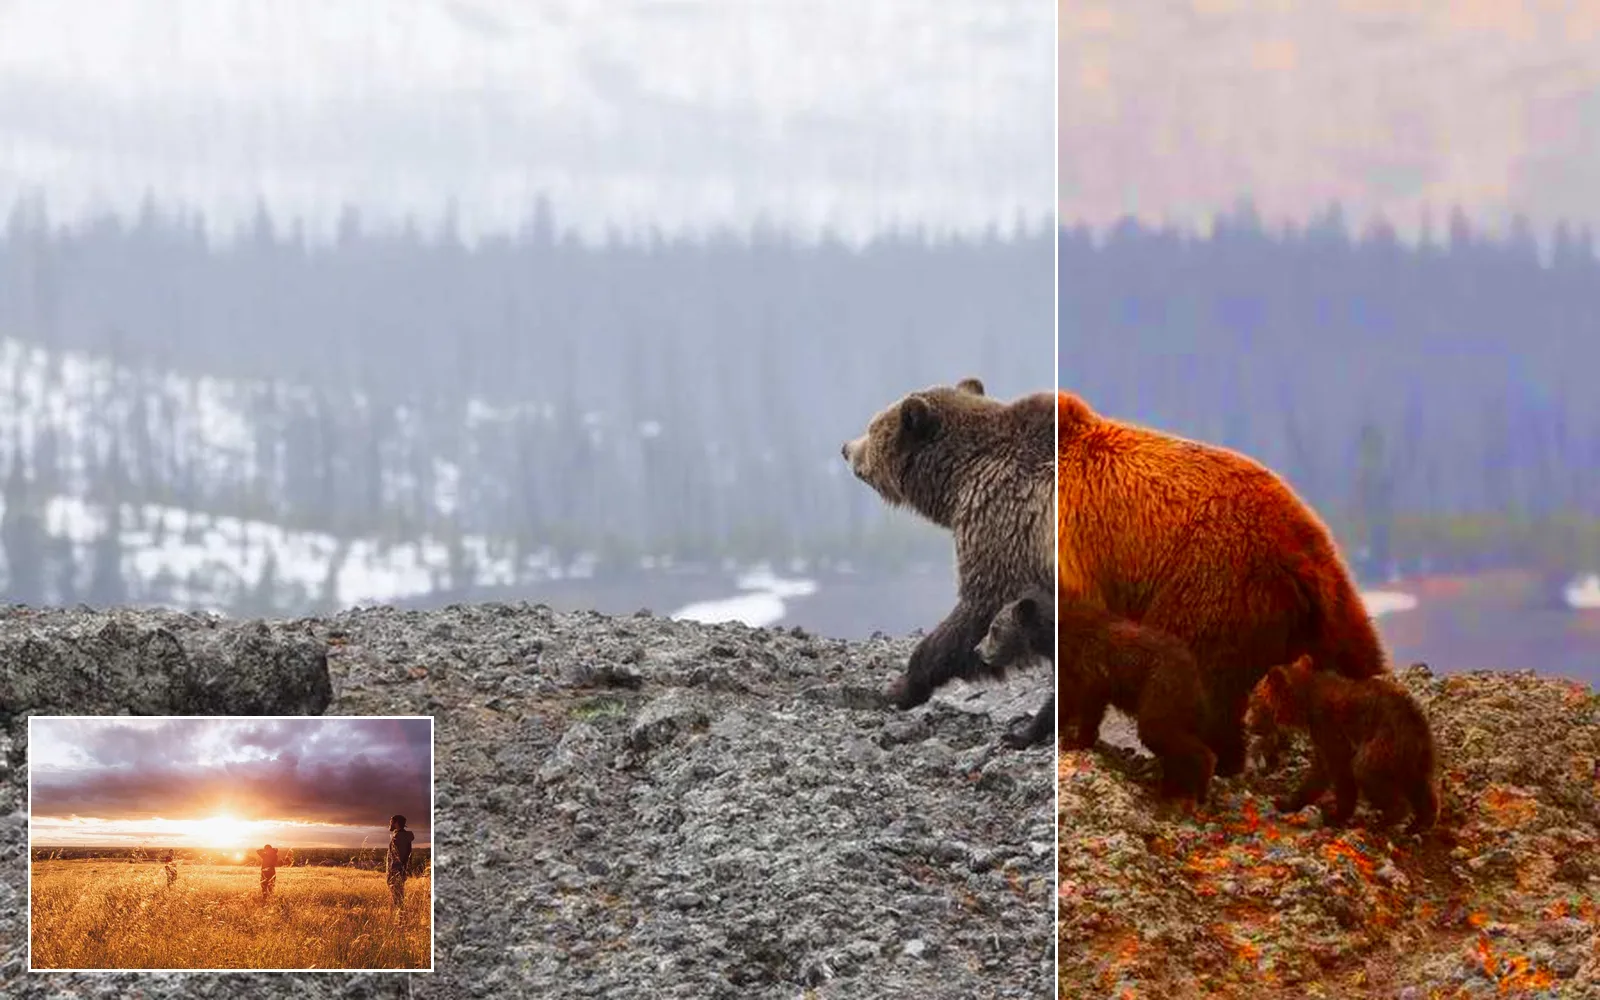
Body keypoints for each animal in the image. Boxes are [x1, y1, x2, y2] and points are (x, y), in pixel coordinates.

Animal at [1247, 654, 1439, 833]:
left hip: (1384, 742)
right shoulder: (1320, 736)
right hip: (1416, 756)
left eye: (1254, 701)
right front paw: (1287, 802)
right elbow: (1319, 772)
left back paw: (1383, 820)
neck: (1305, 705)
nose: (1247, 723)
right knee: (1420, 785)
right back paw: (1420, 823)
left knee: (1365, 771)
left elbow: (1339, 769)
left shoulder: (1328, 727)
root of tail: (1416, 722)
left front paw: (1335, 815)